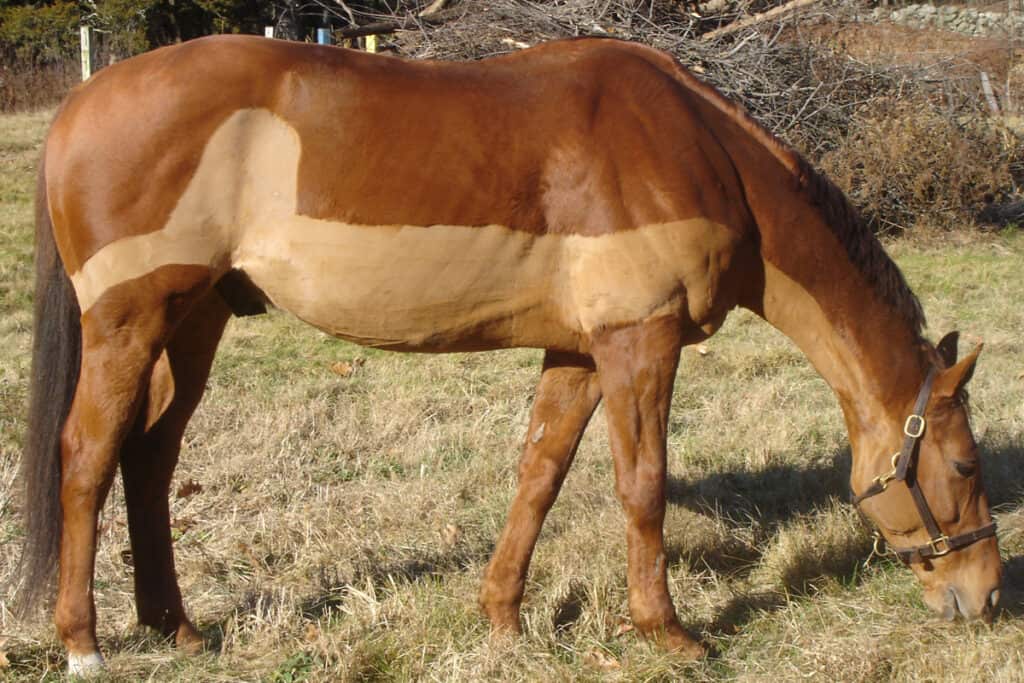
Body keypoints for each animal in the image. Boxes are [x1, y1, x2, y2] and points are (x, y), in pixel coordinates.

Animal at [17, 35, 1000, 675]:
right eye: (962, 465)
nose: (986, 597)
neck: (700, 151)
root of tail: (79, 105)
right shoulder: (637, 344)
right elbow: (642, 488)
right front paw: (669, 632)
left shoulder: (578, 353)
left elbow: (540, 474)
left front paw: (502, 618)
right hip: (129, 322)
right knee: (86, 458)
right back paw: (84, 642)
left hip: (195, 322)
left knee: (149, 460)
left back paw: (176, 628)